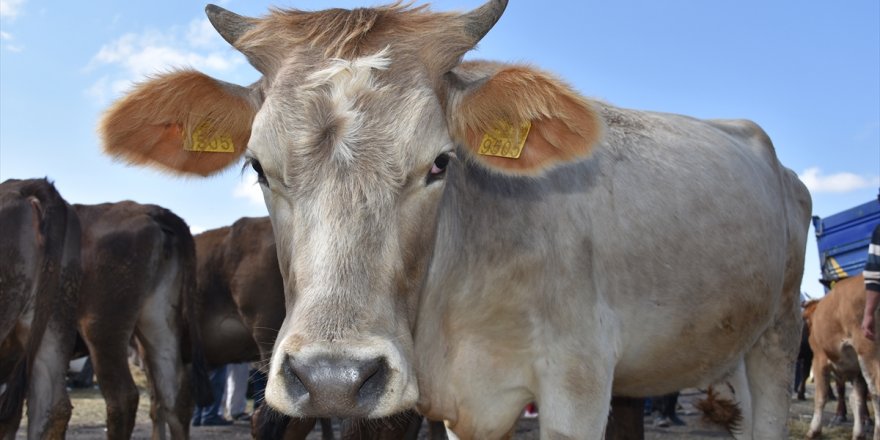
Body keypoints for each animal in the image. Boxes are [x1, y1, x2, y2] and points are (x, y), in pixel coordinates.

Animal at [804, 276, 880, 440]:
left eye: (805, 318)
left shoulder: (819, 358)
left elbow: (821, 396)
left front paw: (814, 430)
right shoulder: (856, 370)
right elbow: (857, 398)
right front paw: (858, 433)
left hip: (869, 350)